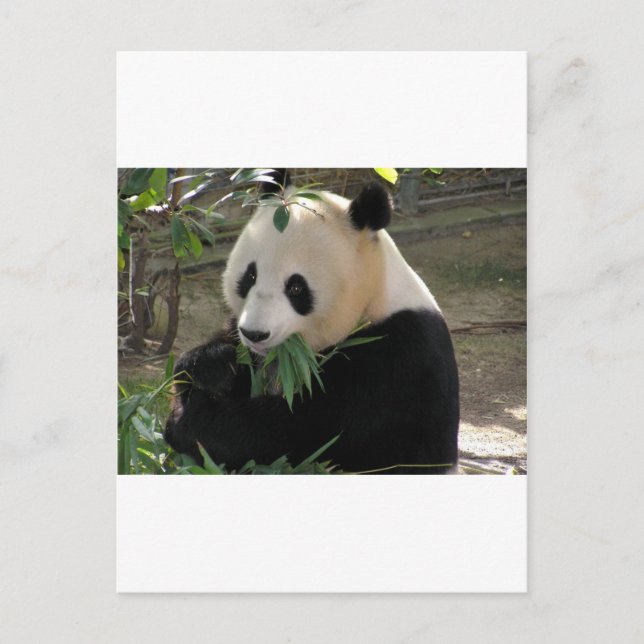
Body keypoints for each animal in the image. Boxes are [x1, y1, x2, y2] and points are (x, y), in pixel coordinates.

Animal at [164, 172, 459, 474]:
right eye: (250, 276)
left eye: (296, 288)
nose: (254, 334)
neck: (372, 301)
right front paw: (212, 367)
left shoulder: (396, 358)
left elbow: (308, 430)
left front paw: (190, 423)